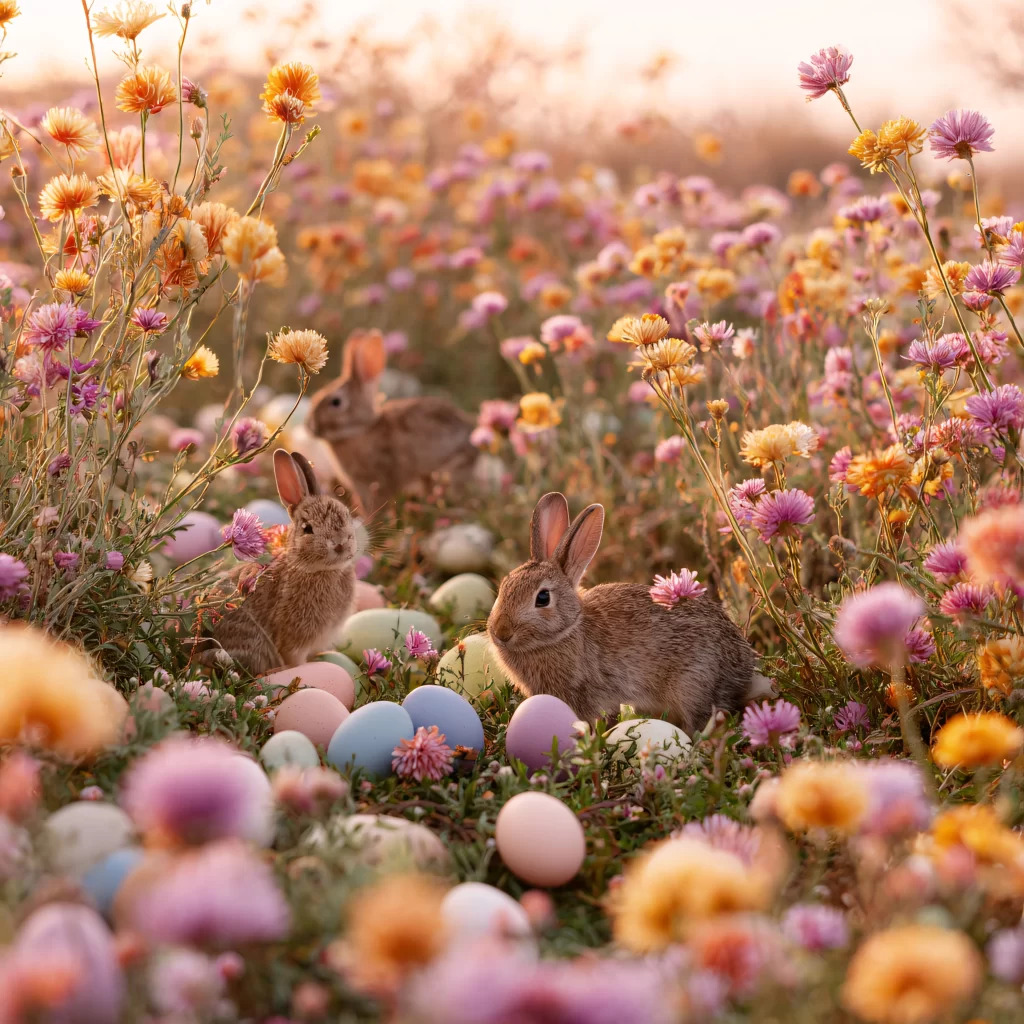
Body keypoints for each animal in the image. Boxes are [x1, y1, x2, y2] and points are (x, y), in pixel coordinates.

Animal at [487, 492, 774, 735]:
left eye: (543, 598)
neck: (566, 631)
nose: (501, 633)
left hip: (693, 683)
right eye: (503, 587)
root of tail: (743, 673)